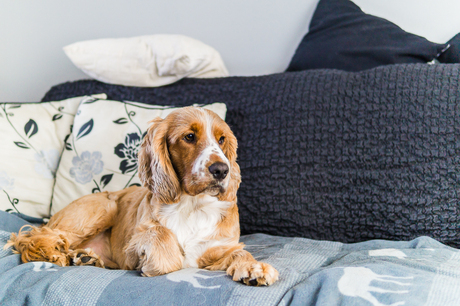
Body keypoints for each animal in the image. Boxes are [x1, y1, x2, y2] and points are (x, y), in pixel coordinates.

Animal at [7, 107, 278, 286]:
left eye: (222, 140)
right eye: (189, 137)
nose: (222, 170)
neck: (191, 206)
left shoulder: (218, 247)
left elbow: (240, 252)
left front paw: (255, 268)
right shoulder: (132, 249)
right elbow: (161, 236)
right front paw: (160, 261)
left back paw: (85, 258)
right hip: (102, 208)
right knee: (34, 236)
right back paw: (54, 253)